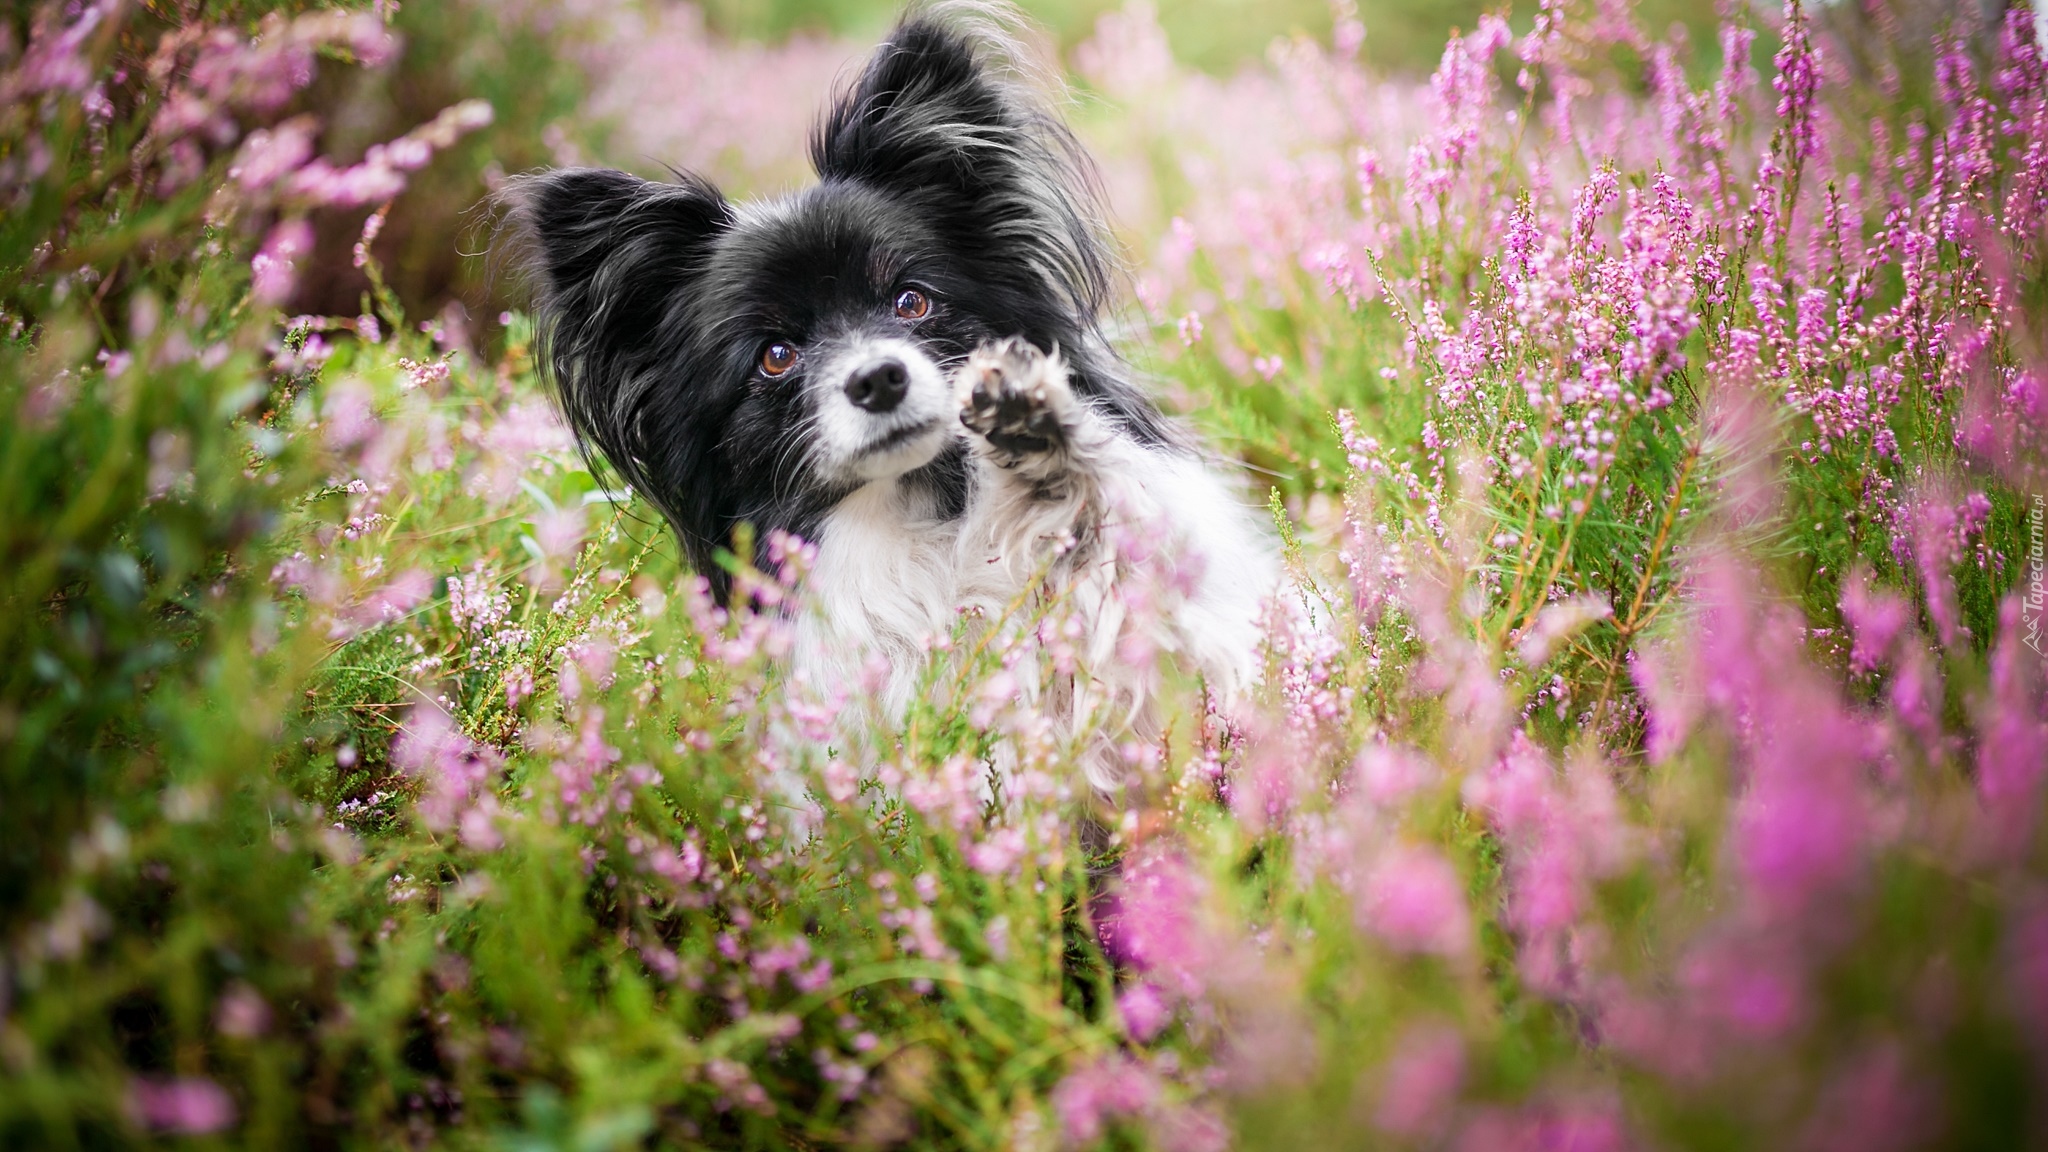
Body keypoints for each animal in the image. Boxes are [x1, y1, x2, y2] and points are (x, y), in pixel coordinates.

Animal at [505, 8, 1269, 795]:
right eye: (775, 357)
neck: (919, 512)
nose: (878, 379)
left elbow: (1119, 521)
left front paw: (1035, 434)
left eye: (912, 301)